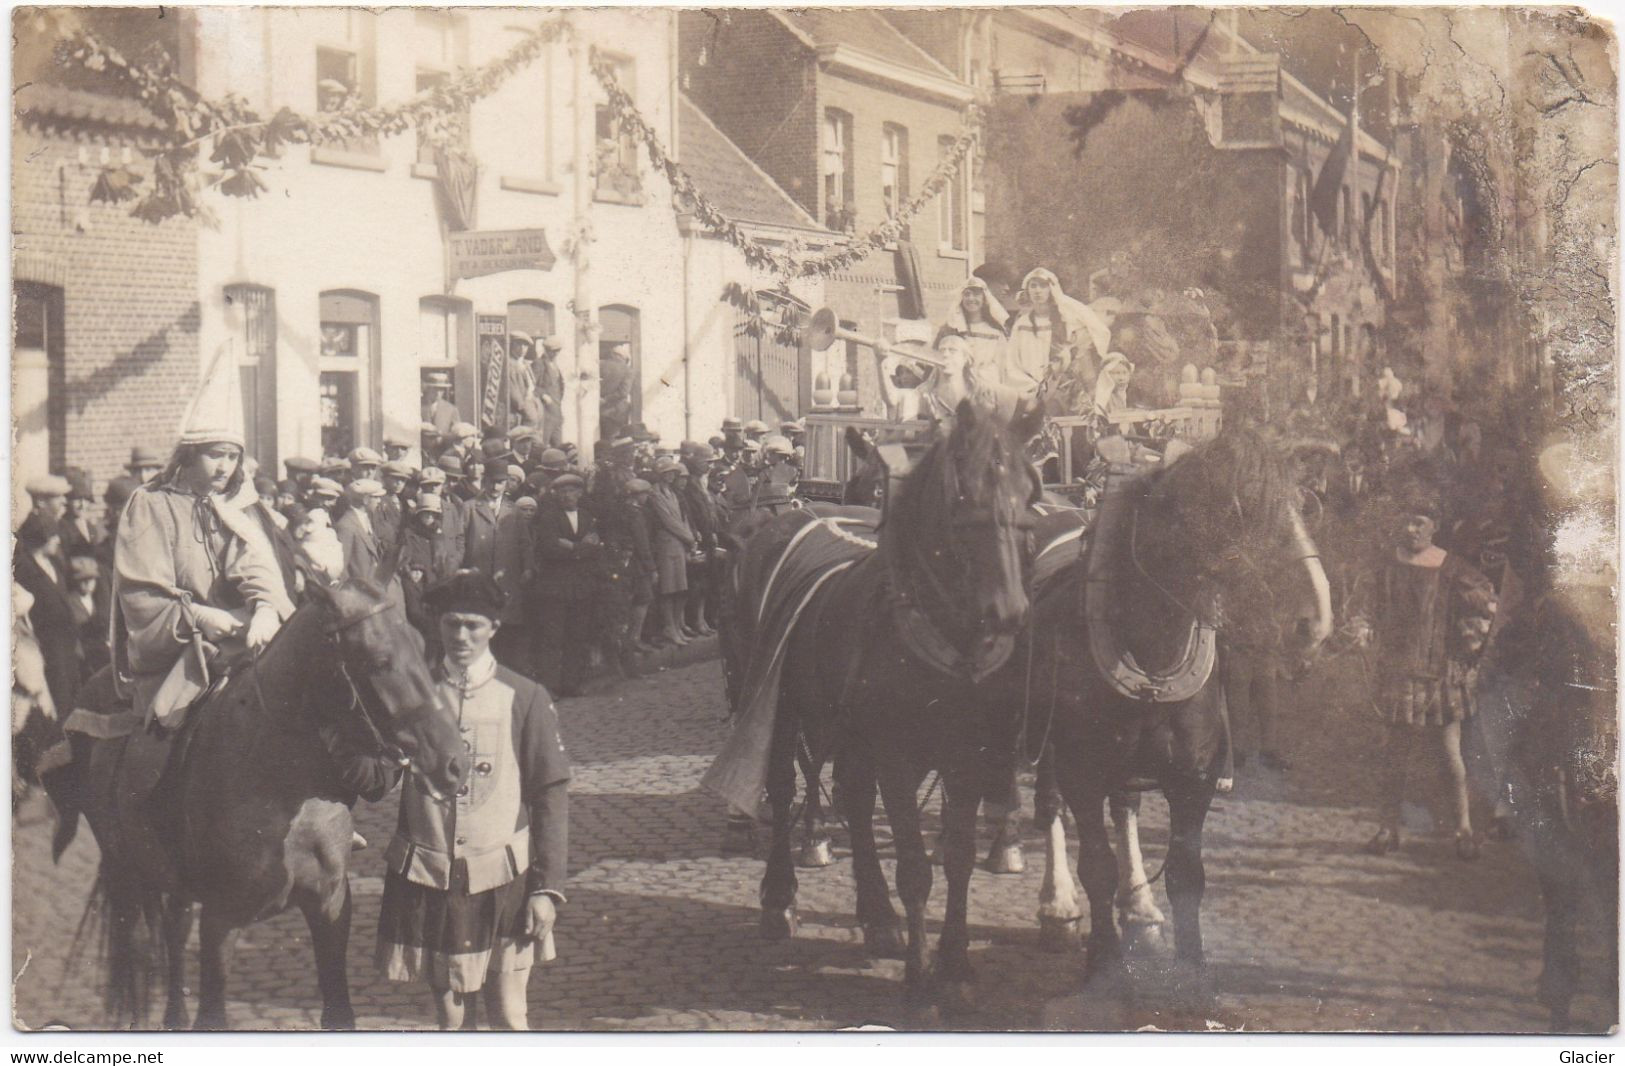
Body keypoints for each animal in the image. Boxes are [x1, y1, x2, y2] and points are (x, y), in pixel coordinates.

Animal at [47, 575, 468, 1033]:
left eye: (422, 647)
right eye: (379, 660)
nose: (455, 761)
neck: (282, 788)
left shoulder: (331, 905)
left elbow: (338, 1010)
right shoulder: (221, 920)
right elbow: (211, 1014)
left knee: (175, 927)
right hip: (127, 868)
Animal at [721, 399, 1040, 1007]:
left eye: (1028, 492)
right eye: (963, 495)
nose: (1009, 611)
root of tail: (784, 520)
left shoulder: (966, 758)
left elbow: (957, 858)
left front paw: (955, 963)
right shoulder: (895, 755)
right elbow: (915, 865)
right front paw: (920, 973)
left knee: (853, 797)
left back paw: (877, 917)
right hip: (776, 702)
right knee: (784, 785)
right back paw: (780, 898)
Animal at [1001, 429, 1332, 1001]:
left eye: (1304, 503)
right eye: (1240, 510)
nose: (1315, 621)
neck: (1148, 645)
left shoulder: (1193, 778)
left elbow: (1186, 874)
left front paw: (1192, 970)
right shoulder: (1082, 770)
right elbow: (1096, 865)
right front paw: (1103, 964)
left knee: (1126, 806)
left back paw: (1139, 908)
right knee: (1050, 804)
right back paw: (1056, 904)